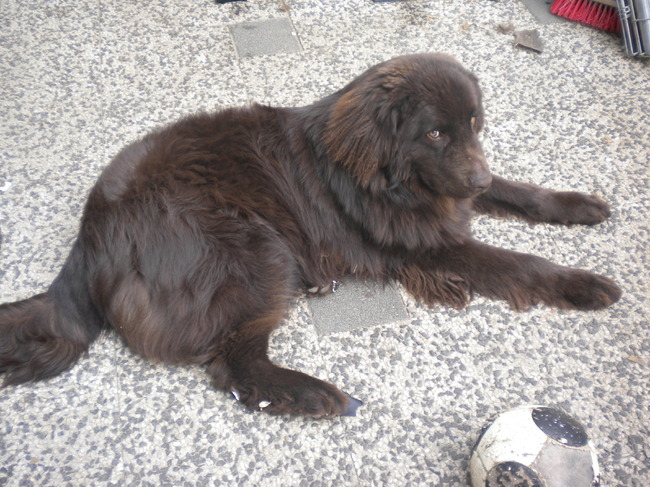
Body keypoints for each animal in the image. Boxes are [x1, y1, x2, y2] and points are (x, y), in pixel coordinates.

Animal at [0, 53, 621, 417]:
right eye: (435, 133)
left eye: (473, 124)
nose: (478, 177)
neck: (393, 180)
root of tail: (89, 234)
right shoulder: (431, 241)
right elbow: (518, 263)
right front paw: (584, 284)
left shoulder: (453, 199)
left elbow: (519, 191)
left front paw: (577, 204)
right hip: (254, 251)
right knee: (233, 363)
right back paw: (310, 392)